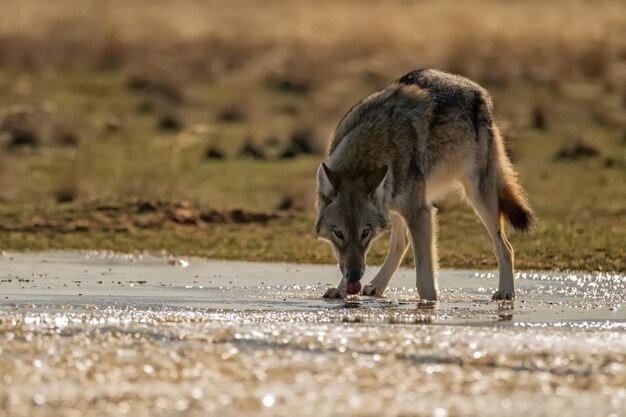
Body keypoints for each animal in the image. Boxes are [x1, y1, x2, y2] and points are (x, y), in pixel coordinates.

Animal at [314, 70, 532, 300]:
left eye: (365, 232)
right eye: (338, 233)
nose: (355, 276)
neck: (372, 146)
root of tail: (480, 93)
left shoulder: (420, 212)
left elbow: (425, 278)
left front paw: (430, 303)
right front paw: (341, 289)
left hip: (478, 197)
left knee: (505, 246)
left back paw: (506, 291)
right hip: (396, 206)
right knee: (402, 243)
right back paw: (377, 286)